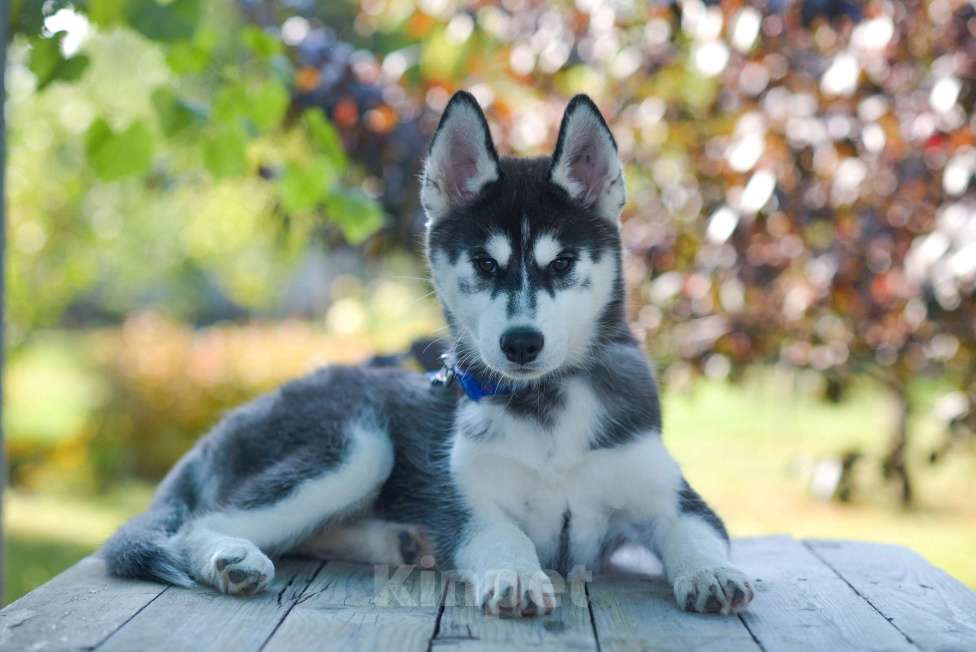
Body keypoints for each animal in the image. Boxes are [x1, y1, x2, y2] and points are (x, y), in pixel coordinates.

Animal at [101, 91, 756, 616]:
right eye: (484, 264)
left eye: (563, 263)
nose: (522, 342)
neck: (545, 407)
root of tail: (222, 427)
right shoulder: (469, 508)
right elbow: (505, 538)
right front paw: (518, 576)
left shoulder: (675, 500)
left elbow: (694, 534)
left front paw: (713, 574)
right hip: (358, 446)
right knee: (200, 524)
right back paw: (233, 558)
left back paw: (397, 542)